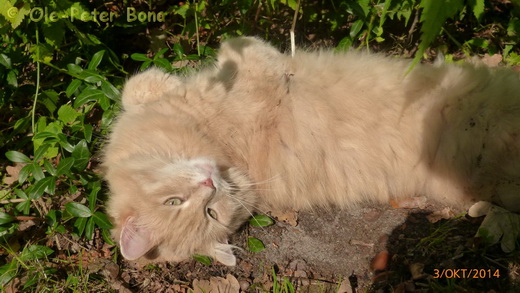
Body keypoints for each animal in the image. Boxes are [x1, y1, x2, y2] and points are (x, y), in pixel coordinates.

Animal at [101, 36, 520, 264]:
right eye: (212, 213)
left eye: (174, 202)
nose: (209, 185)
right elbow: (248, 52)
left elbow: (136, 85)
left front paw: (165, 81)